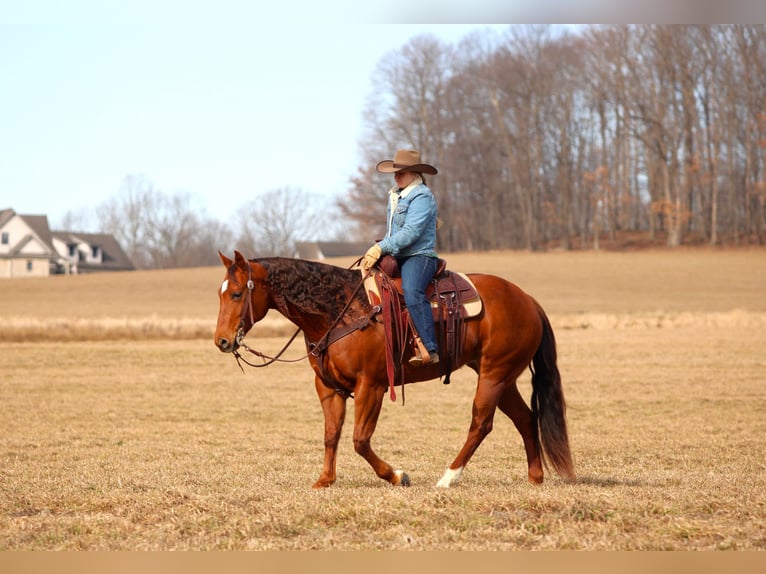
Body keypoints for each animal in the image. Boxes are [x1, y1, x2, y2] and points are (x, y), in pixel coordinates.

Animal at [214, 250, 575, 488]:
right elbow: (331, 435)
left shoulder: (370, 386)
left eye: (237, 293)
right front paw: (325, 479)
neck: (338, 310)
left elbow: (360, 440)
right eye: (221, 294)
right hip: (503, 377)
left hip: (493, 375)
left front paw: (397, 475)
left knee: (481, 424)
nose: (222, 340)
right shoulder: (329, 388)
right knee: (525, 418)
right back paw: (535, 477)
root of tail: (527, 299)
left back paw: (448, 477)